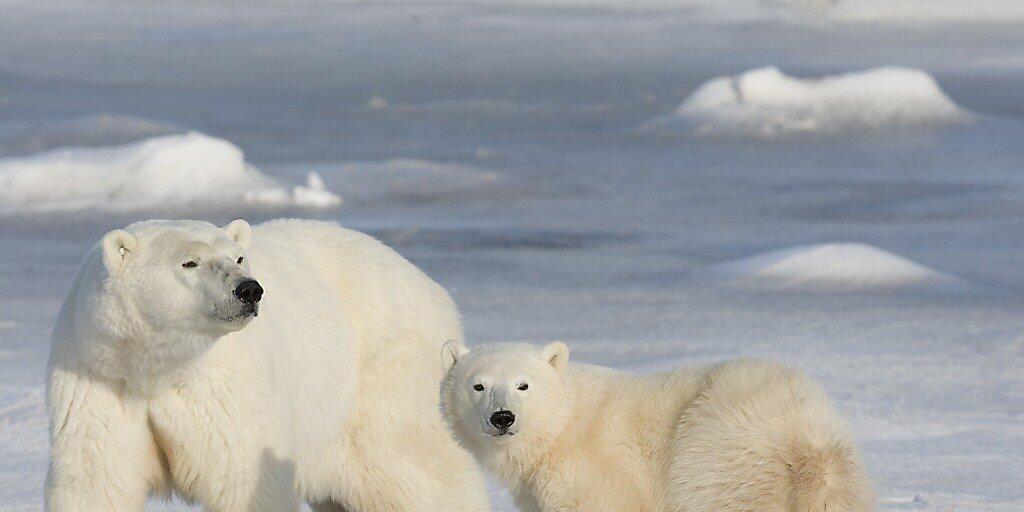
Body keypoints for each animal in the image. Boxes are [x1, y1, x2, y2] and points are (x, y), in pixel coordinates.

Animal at [49, 219, 489, 512]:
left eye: (239, 256)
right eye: (189, 262)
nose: (249, 289)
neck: (159, 370)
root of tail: (429, 284)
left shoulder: (230, 392)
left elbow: (245, 481)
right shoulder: (99, 380)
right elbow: (95, 479)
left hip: (384, 384)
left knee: (418, 477)